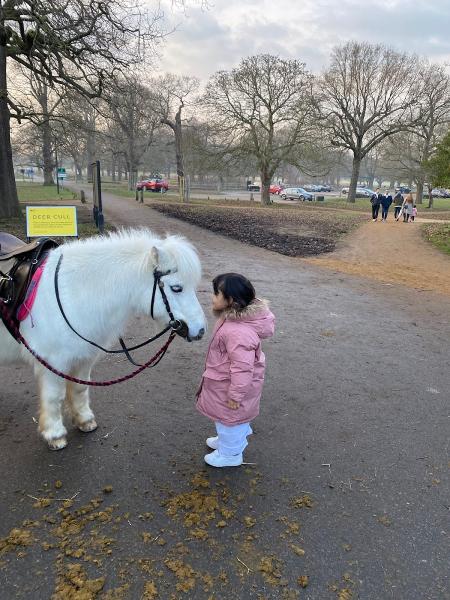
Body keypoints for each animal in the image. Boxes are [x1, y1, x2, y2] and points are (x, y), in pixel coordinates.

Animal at [0, 230, 207, 450]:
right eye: (176, 288)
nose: (200, 330)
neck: (71, 293)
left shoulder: (84, 358)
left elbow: (80, 388)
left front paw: (84, 420)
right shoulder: (52, 362)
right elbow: (54, 397)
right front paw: (55, 435)